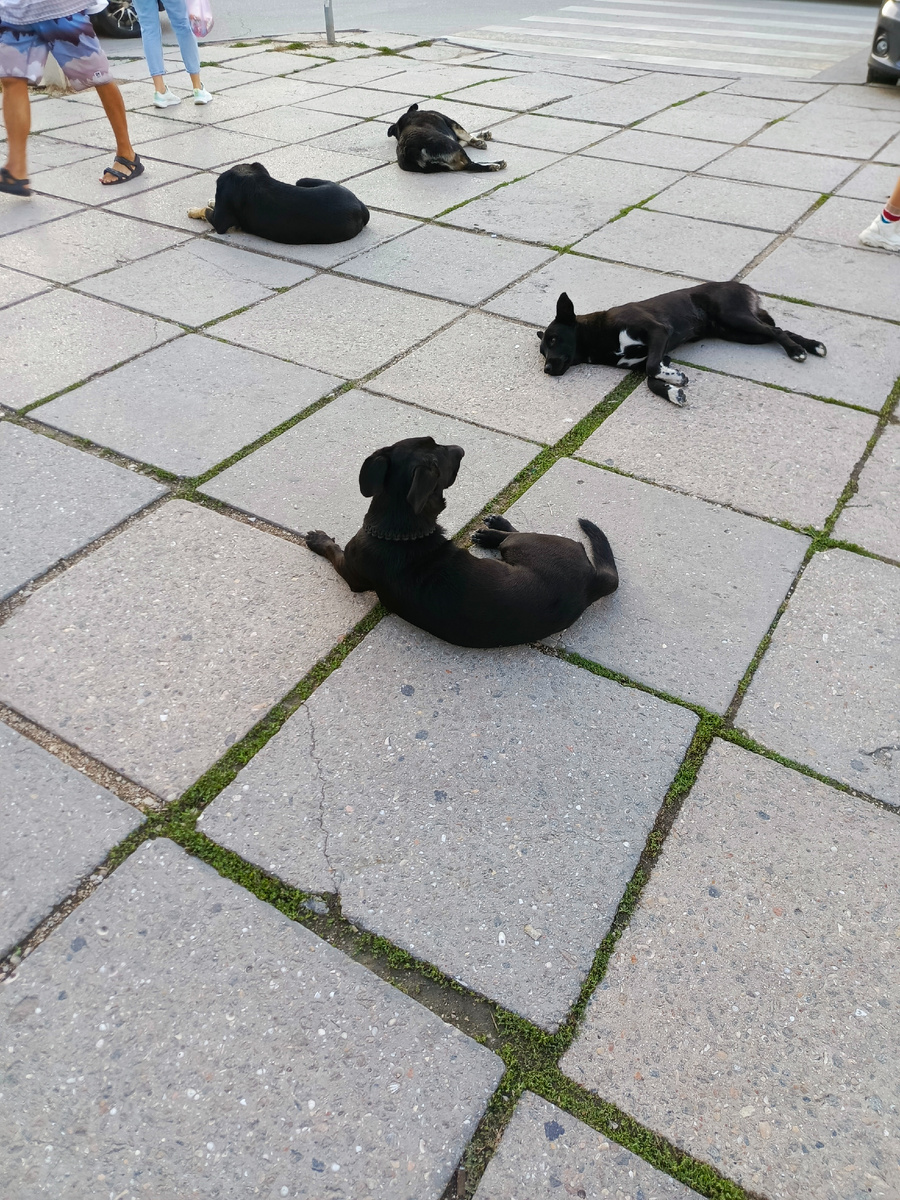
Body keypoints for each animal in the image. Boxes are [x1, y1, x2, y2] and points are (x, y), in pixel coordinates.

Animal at [187, 162, 369, 244]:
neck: (251, 177)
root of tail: (360, 208)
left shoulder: (221, 221)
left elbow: (206, 211)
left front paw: (194, 210)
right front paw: (211, 201)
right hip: (302, 180)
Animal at [305, 437, 617, 649]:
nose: (461, 449)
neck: (400, 529)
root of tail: (591, 583)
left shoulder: (351, 573)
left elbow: (333, 551)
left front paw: (318, 540)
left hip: (524, 543)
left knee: (513, 535)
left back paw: (493, 530)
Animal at [537, 281, 827, 406]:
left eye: (553, 339)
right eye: (542, 352)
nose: (546, 370)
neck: (602, 336)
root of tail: (744, 286)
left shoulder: (658, 332)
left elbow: (651, 369)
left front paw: (676, 380)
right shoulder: (659, 354)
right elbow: (650, 377)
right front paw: (672, 391)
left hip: (735, 317)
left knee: (776, 331)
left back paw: (797, 351)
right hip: (741, 333)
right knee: (778, 330)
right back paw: (812, 345)